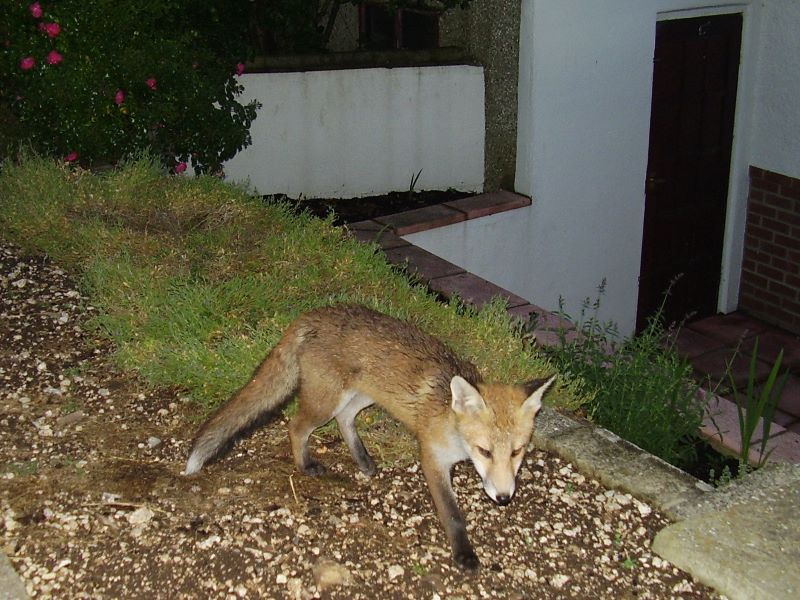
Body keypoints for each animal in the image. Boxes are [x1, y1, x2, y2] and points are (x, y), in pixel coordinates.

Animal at [184, 304, 552, 572]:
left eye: (517, 451)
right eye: (485, 451)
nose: (504, 498)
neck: (449, 421)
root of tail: (311, 314)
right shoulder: (432, 458)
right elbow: (453, 515)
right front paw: (464, 555)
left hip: (364, 395)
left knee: (345, 419)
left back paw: (362, 459)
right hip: (326, 402)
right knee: (296, 426)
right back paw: (305, 465)